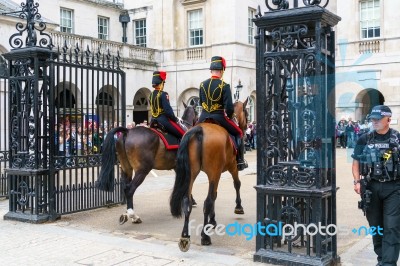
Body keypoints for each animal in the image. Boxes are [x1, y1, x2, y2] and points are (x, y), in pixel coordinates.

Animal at [169, 99, 247, 251]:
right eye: (246, 112)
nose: (246, 128)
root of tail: (198, 130)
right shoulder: (231, 167)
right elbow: (237, 184)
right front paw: (238, 207)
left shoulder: (216, 174)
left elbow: (215, 194)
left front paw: (212, 220)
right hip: (214, 173)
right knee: (208, 201)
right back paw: (205, 237)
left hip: (192, 174)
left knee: (187, 201)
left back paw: (185, 236)